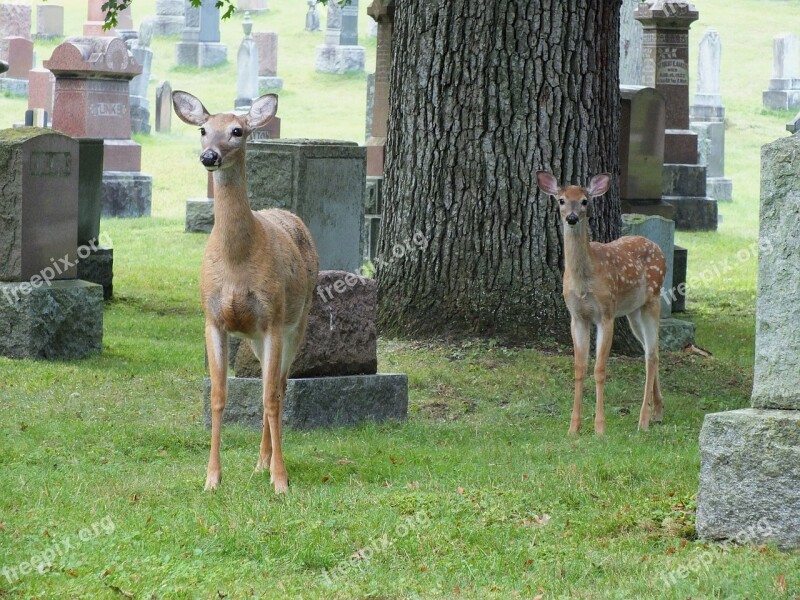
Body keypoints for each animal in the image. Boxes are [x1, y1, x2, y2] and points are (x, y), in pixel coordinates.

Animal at [175, 90, 318, 492]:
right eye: (203, 130)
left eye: (237, 131)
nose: (210, 156)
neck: (237, 262)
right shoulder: (213, 319)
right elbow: (218, 396)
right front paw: (212, 478)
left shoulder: (272, 320)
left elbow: (271, 398)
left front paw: (281, 481)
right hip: (253, 337)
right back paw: (260, 462)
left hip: (297, 322)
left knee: (280, 387)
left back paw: (268, 465)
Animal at [536, 171, 668, 434]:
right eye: (562, 200)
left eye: (585, 201)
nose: (572, 218)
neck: (584, 281)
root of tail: (658, 248)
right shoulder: (577, 317)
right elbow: (579, 368)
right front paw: (573, 427)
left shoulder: (606, 314)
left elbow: (599, 369)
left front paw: (599, 428)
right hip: (633, 312)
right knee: (653, 350)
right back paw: (658, 412)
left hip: (653, 300)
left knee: (651, 356)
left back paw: (643, 420)